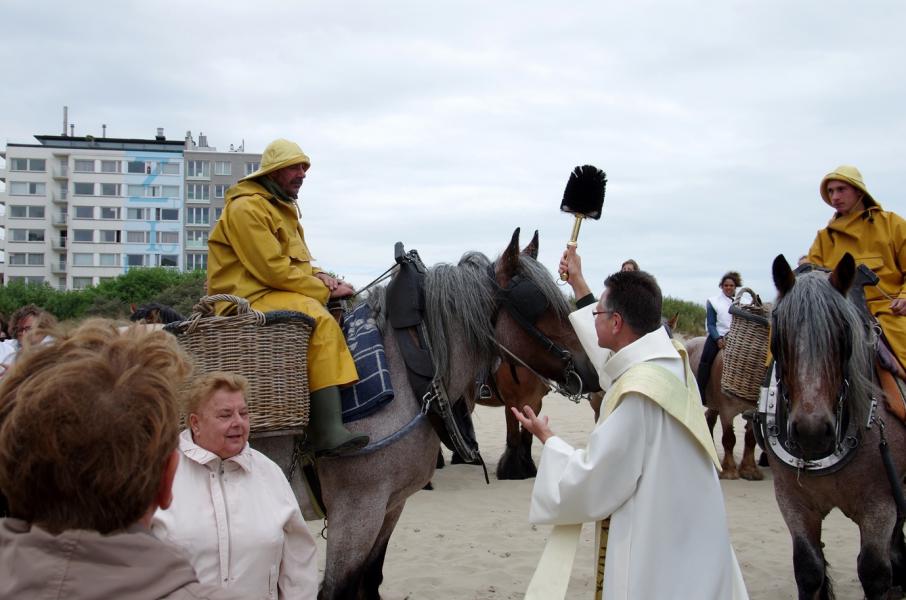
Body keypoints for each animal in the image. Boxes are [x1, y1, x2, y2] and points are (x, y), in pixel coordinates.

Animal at [684, 338, 764, 482]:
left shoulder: (752, 412)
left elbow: (750, 439)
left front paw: (749, 470)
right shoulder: (727, 411)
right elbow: (729, 438)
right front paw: (729, 471)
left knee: (709, 420)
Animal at [764, 254, 904, 600]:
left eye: (843, 333)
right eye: (779, 336)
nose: (811, 432)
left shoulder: (880, 507)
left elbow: (874, 572)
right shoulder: (793, 502)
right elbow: (809, 569)